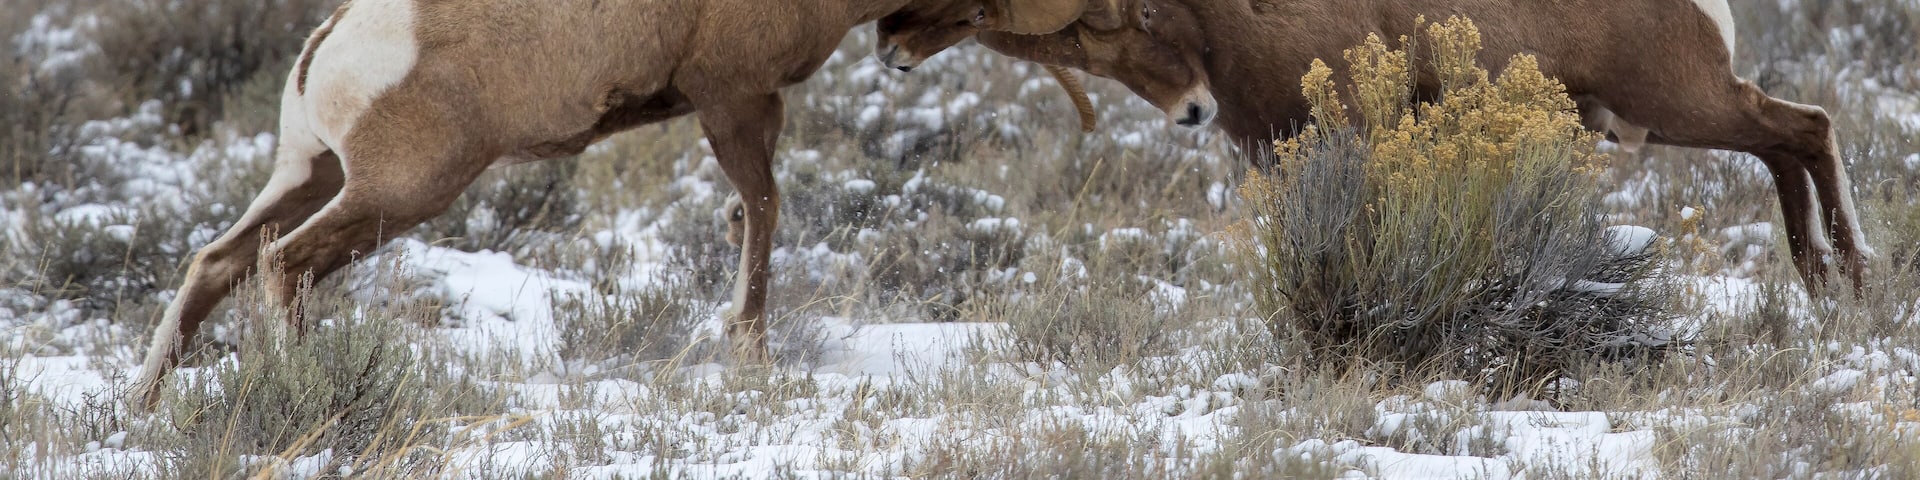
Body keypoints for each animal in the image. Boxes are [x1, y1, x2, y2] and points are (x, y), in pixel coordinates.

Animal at [127, 0, 1019, 409]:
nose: (899, 48)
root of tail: (327, 48)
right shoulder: (735, 101)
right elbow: (762, 214)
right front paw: (752, 355)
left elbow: (754, 214)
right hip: (395, 195)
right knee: (284, 264)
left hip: (310, 177)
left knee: (217, 263)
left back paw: (142, 402)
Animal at [880, 0, 1872, 290]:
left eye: (1128, 21)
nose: (1193, 110)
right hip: (1676, 115)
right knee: (1786, 146)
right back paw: (1823, 278)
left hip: (1682, 103)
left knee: (1805, 130)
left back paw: (1855, 272)